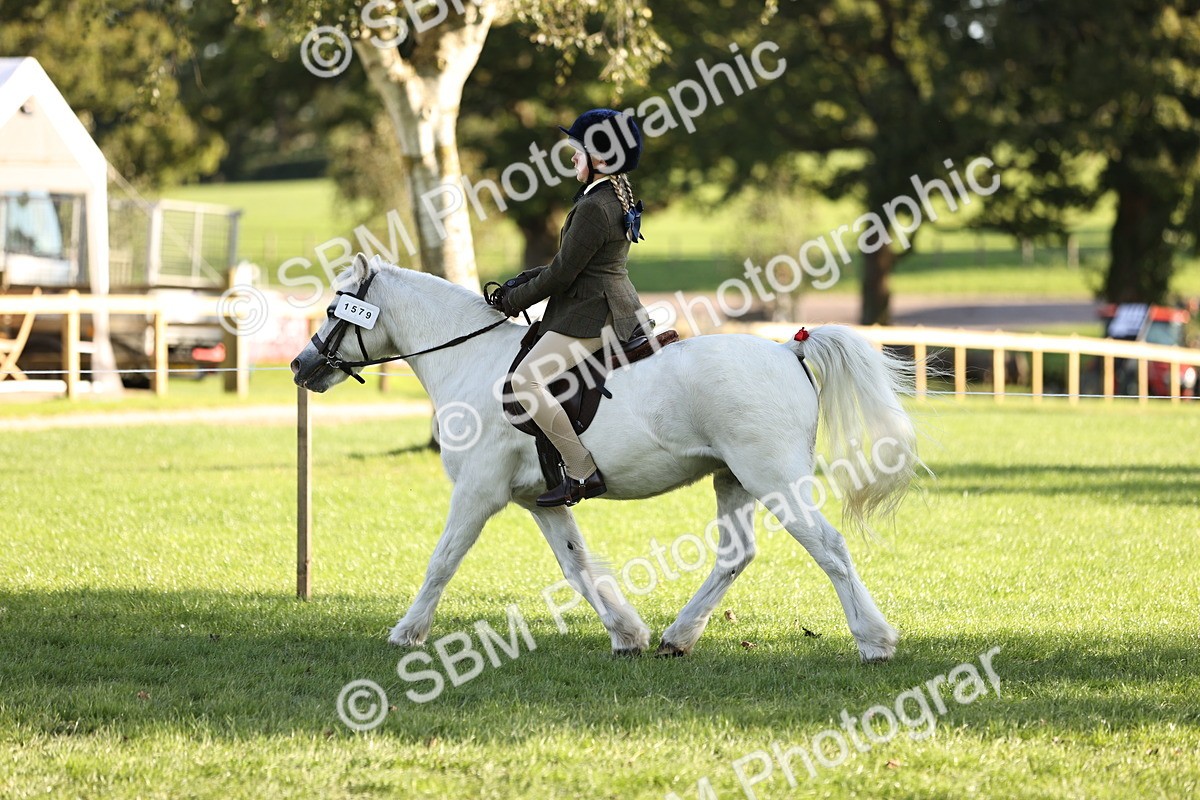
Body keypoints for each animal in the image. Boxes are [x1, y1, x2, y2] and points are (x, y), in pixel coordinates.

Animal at [291, 254, 922, 662]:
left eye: (335, 309)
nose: (301, 366)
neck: (471, 361)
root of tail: (789, 351)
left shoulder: (477, 491)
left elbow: (442, 561)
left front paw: (408, 633)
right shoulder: (541, 500)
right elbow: (577, 567)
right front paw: (626, 634)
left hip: (774, 478)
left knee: (829, 549)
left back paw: (874, 641)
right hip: (733, 479)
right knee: (734, 555)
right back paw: (675, 638)